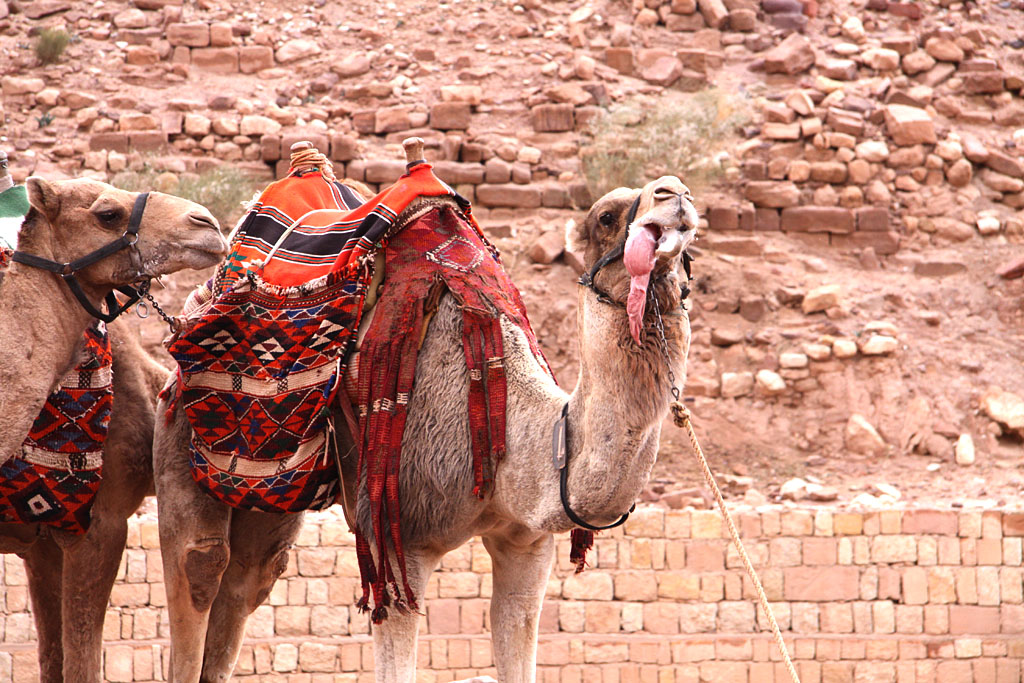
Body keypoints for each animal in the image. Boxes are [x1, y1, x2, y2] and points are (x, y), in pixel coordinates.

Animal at [153, 172, 696, 683]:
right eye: (606, 216)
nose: (677, 194)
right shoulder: (400, 538)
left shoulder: (528, 542)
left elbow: (516, 630)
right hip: (184, 421)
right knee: (200, 564)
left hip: (275, 485)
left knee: (251, 576)